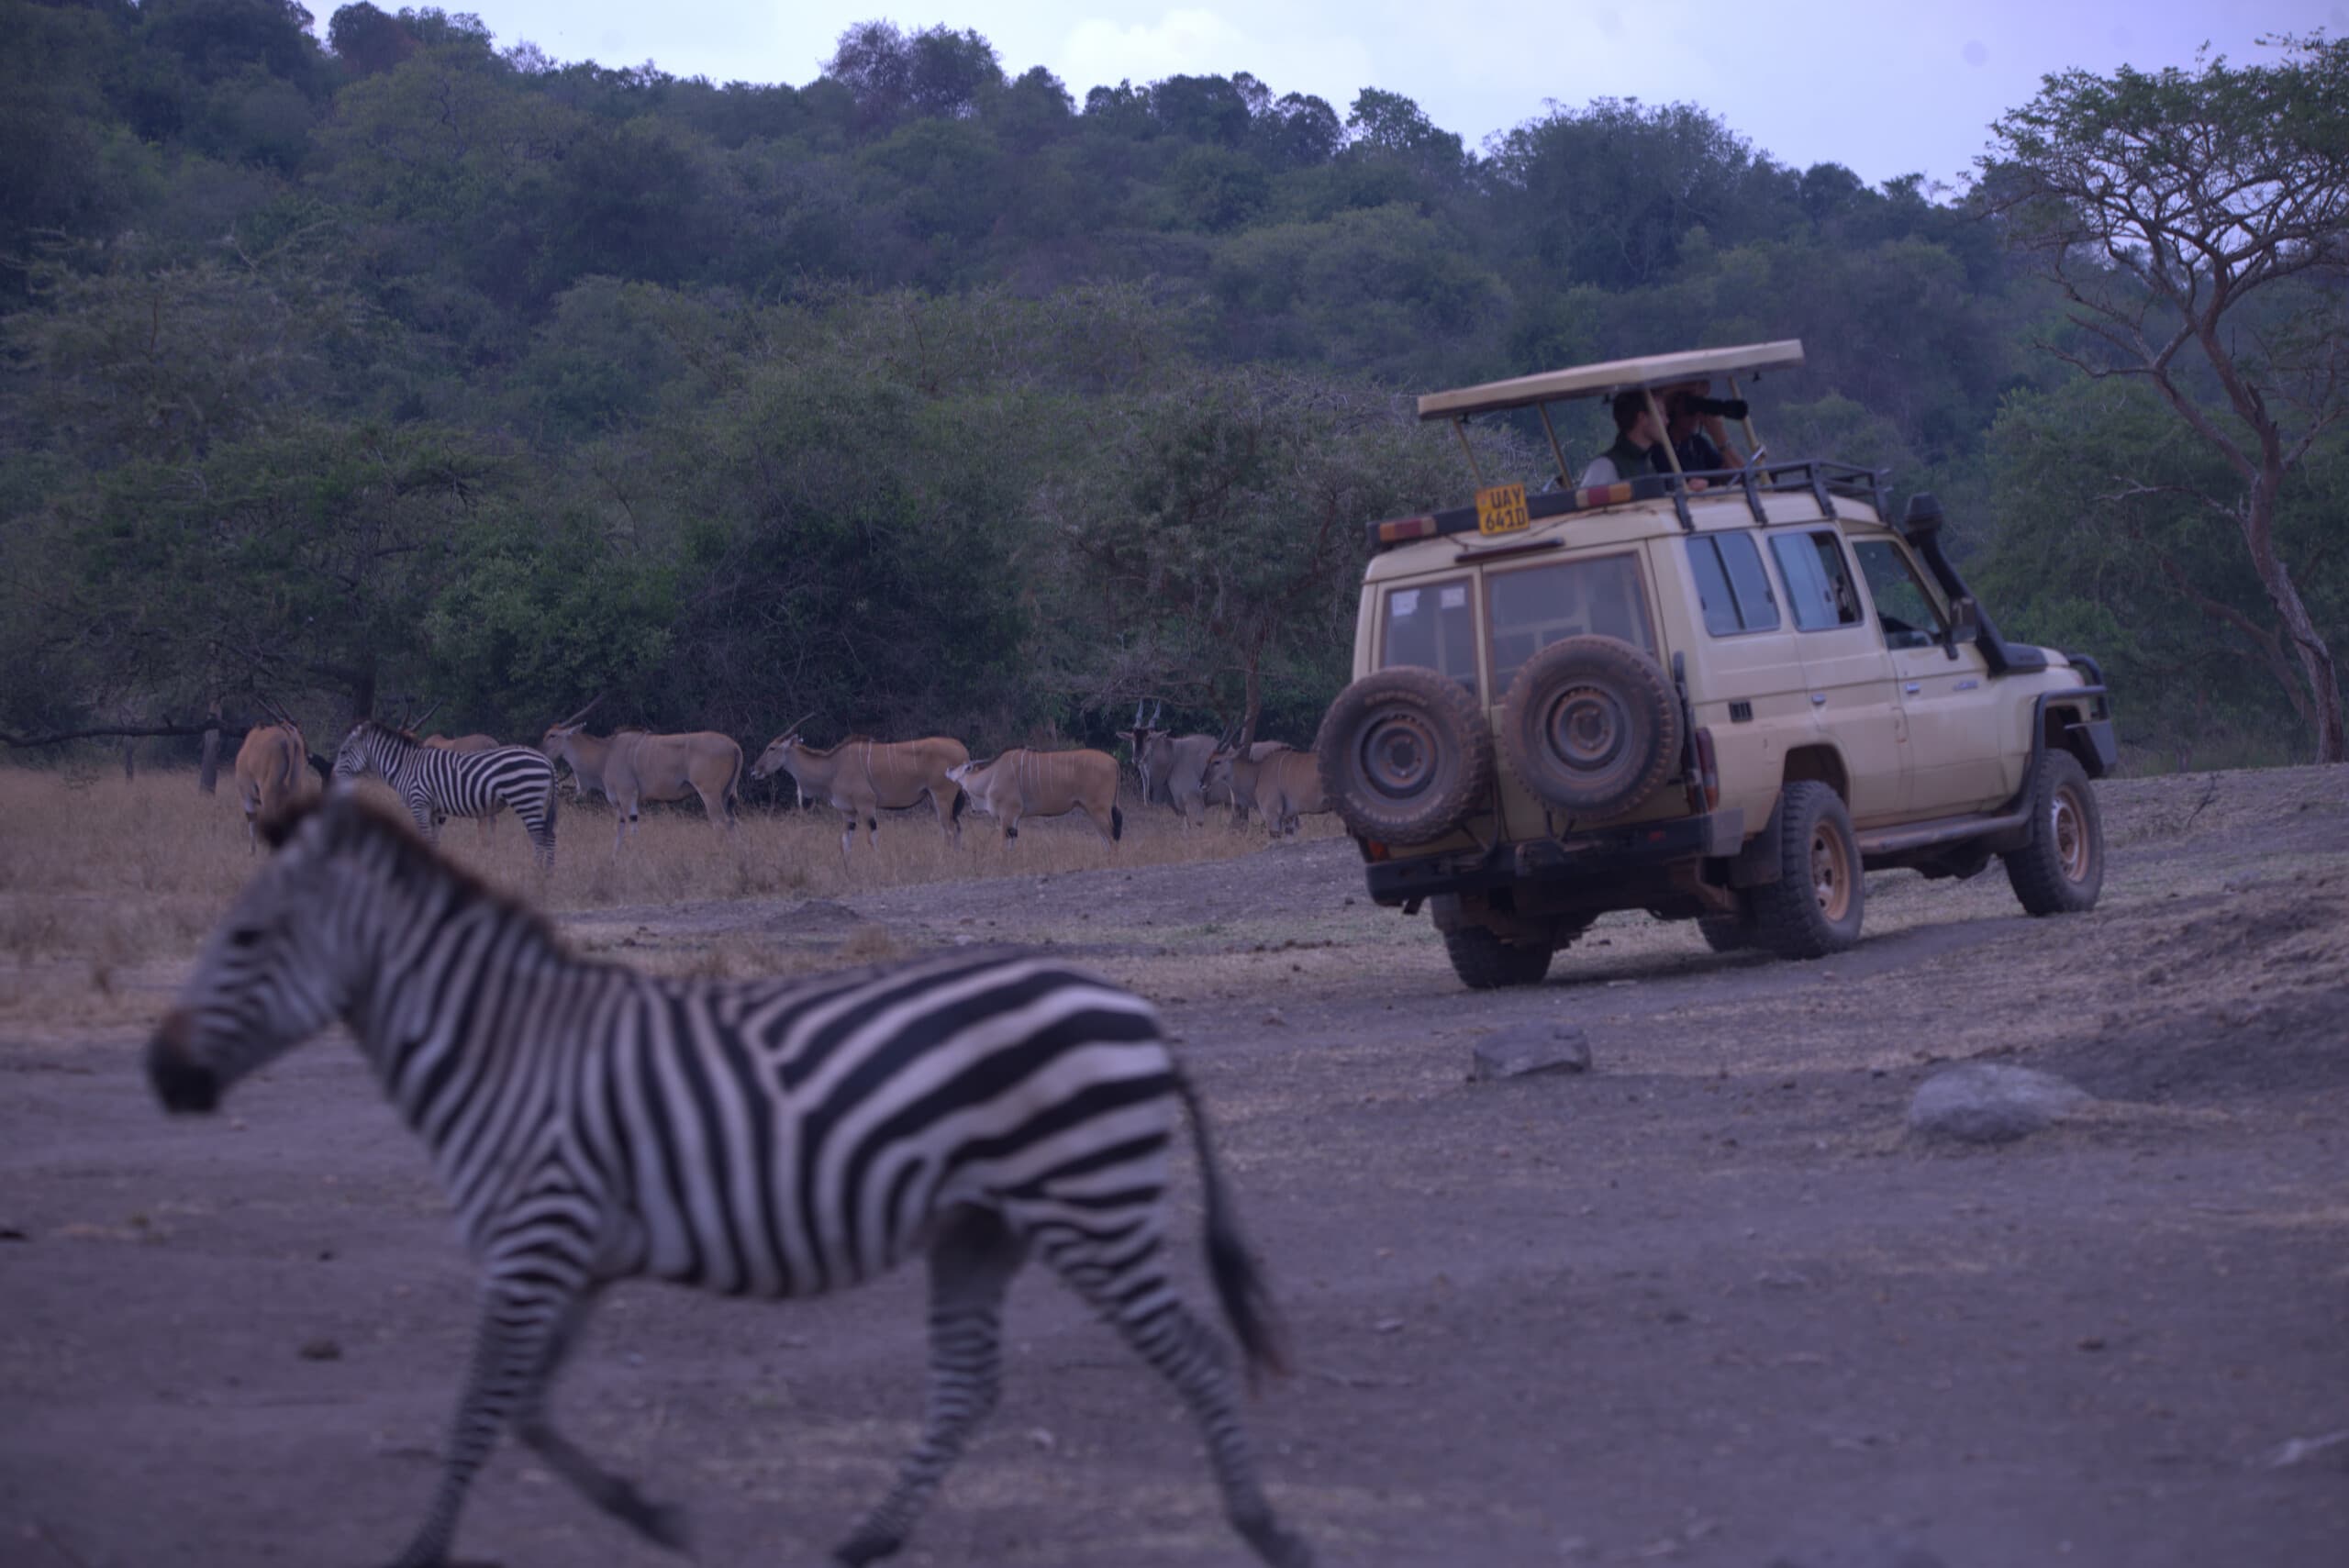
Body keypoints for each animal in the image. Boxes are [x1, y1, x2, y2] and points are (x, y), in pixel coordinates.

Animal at [145, 791, 1313, 1568]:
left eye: (245, 936)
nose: (160, 1072)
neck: (502, 1049)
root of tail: (1135, 1009)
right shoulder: (569, 1255)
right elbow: (526, 1410)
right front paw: (656, 1514)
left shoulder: (534, 1238)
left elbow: (480, 1410)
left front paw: (421, 1551)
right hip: (979, 1223)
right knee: (967, 1384)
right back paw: (860, 1540)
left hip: (1086, 1205)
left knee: (1196, 1353)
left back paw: (1267, 1529)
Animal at [332, 719, 559, 867]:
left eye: (343, 752)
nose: (332, 778)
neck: (406, 765)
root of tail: (547, 761)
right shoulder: (436, 811)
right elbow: (434, 841)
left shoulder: (419, 804)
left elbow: (424, 838)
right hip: (538, 802)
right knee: (549, 836)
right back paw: (546, 877)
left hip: (525, 798)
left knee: (539, 836)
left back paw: (535, 873)